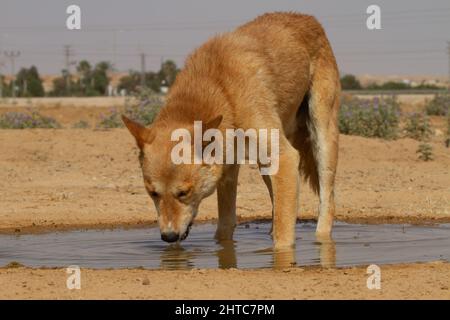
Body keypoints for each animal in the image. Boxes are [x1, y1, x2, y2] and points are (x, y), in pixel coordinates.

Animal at [121, 11, 340, 248]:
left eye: (183, 193)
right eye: (153, 193)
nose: (168, 237)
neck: (222, 90)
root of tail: (307, 17)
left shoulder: (285, 157)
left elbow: (283, 238)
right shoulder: (228, 170)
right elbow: (225, 227)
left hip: (321, 139)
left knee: (327, 201)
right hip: (266, 166)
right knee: (277, 204)